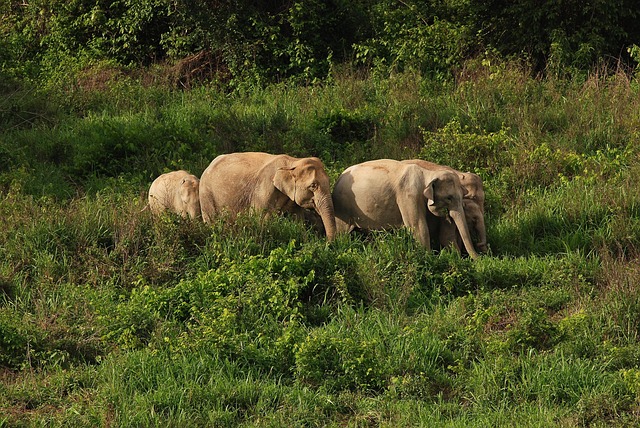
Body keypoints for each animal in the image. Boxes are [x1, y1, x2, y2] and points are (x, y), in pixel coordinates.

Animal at [199, 151, 340, 241]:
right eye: (313, 186)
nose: (326, 243)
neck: (293, 162)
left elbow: (297, 220)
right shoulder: (264, 190)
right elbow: (260, 221)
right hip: (206, 195)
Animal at [332, 157, 478, 258]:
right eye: (449, 198)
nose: (479, 259)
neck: (428, 173)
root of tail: (338, 177)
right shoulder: (408, 195)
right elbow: (418, 227)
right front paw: (429, 259)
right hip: (342, 207)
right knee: (341, 232)